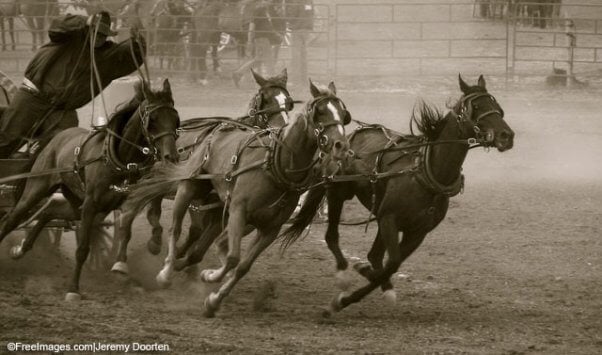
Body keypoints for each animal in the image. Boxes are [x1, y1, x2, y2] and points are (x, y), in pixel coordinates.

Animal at [0, 79, 179, 302]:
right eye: (152, 120)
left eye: (176, 119)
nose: (171, 156)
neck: (119, 160)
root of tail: (56, 137)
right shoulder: (91, 205)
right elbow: (82, 248)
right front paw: (73, 289)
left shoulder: (124, 202)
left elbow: (126, 231)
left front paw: (122, 264)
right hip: (38, 190)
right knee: (11, 220)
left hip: (76, 202)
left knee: (49, 211)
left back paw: (22, 248)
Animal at [110, 68, 296, 276]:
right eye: (265, 98)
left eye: (288, 101)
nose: (281, 130)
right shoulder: (199, 200)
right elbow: (195, 231)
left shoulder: (220, 210)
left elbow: (201, 243)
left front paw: (183, 260)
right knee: (144, 207)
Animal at [127, 80, 352, 318]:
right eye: (320, 112)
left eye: (343, 114)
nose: (342, 146)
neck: (276, 166)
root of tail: (216, 130)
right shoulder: (238, 210)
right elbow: (232, 257)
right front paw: (209, 276)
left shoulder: (269, 229)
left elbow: (242, 265)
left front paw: (213, 300)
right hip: (189, 187)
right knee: (175, 227)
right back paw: (165, 272)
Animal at [278, 75, 512, 314]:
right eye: (476, 106)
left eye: (495, 104)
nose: (507, 135)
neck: (425, 171)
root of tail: (347, 139)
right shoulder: (389, 219)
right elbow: (392, 262)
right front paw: (349, 290)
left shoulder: (417, 231)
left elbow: (391, 264)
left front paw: (364, 286)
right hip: (338, 193)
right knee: (332, 237)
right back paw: (345, 274)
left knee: (375, 255)